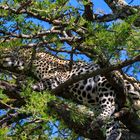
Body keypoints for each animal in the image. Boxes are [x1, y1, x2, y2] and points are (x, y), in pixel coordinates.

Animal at [0, 47, 139, 139]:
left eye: (5, 50)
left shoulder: (57, 76)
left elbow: (41, 82)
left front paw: (27, 85)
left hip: (103, 82)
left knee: (109, 106)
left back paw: (99, 120)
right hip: (100, 104)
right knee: (115, 123)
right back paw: (112, 135)